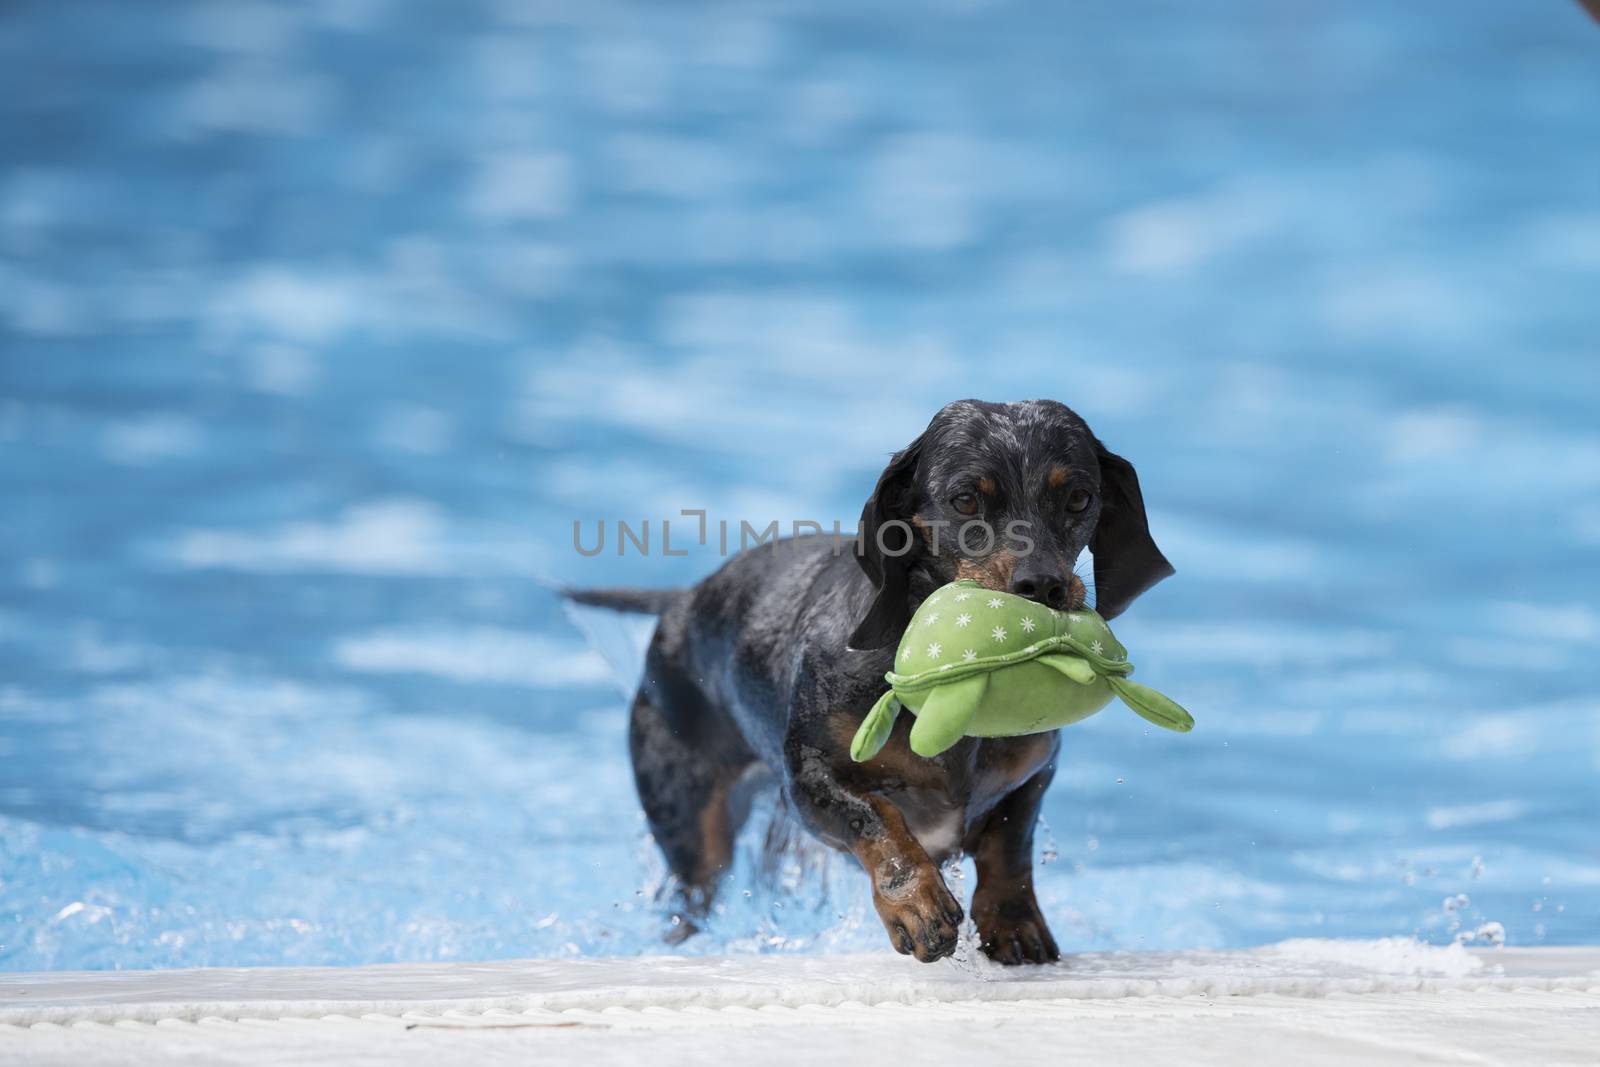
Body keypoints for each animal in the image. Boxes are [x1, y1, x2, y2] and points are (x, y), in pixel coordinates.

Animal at [569, 399, 1171, 966]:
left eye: (1079, 498)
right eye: (965, 501)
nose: (1044, 587)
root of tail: (685, 599)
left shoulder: (1032, 774)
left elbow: (1010, 847)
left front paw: (1014, 922)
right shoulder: (810, 779)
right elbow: (876, 818)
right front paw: (917, 903)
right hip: (694, 833)